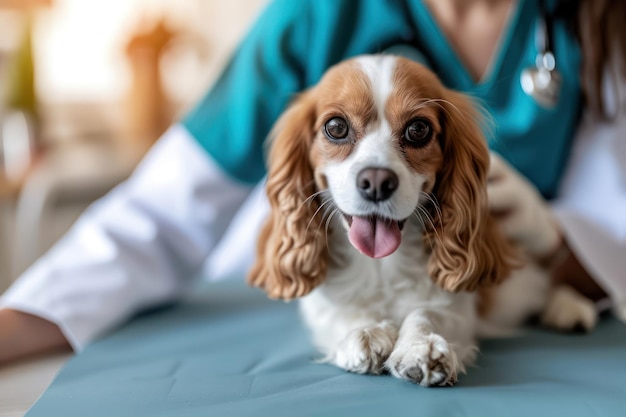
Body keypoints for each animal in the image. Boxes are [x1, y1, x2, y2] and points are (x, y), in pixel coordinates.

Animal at [246, 53, 592, 386]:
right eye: (336, 127)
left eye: (418, 129)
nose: (376, 181)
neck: (380, 265)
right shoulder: (321, 306)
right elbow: (342, 312)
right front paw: (367, 331)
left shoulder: (457, 306)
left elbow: (428, 312)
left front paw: (420, 346)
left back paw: (568, 307)